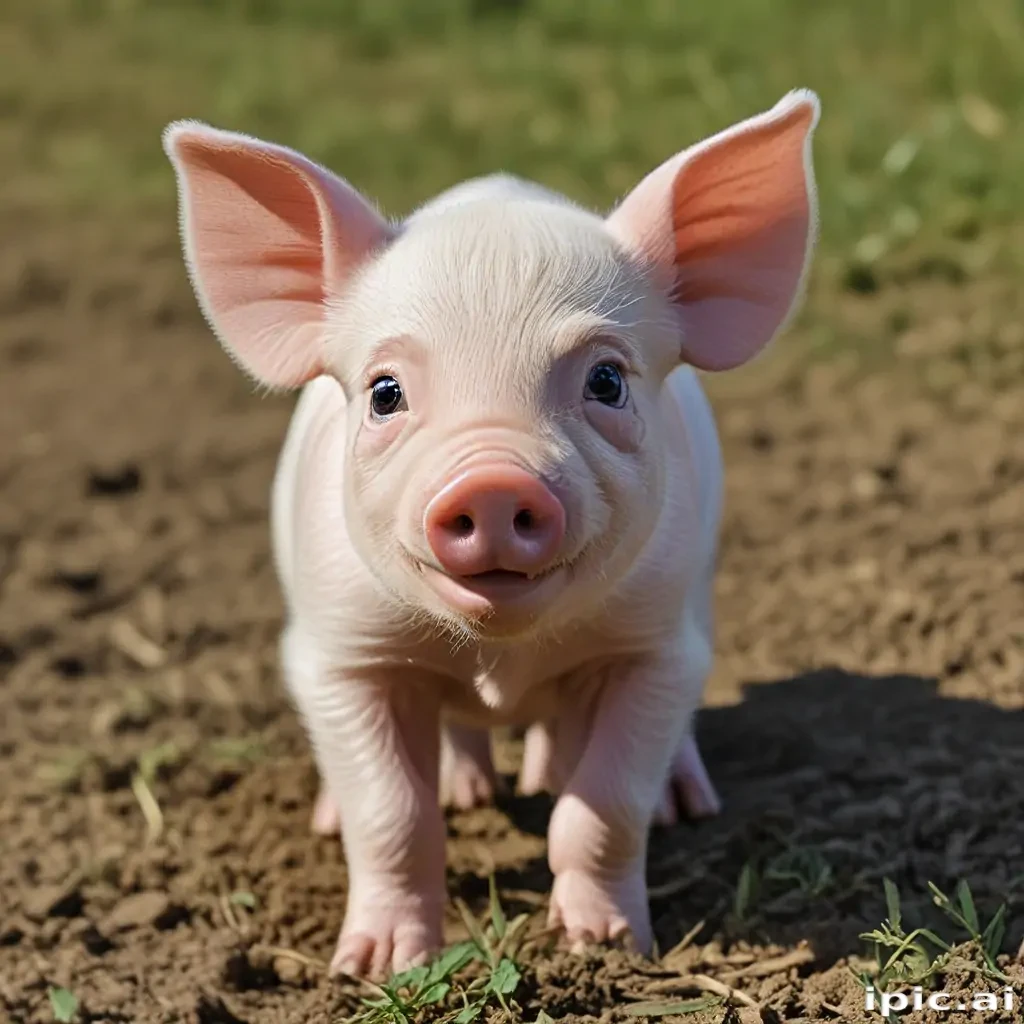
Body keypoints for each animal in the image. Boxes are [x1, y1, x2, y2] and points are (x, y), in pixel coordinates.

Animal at [162, 88, 820, 979]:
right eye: (385, 393)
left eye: (606, 380)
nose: (494, 480)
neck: (502, 659)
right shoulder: (338, 652)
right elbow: (392, 816)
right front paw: (378, 967)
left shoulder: (656, 648)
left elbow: (607, 804)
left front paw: (606, 945)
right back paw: (447, 794)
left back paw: (665, 799)